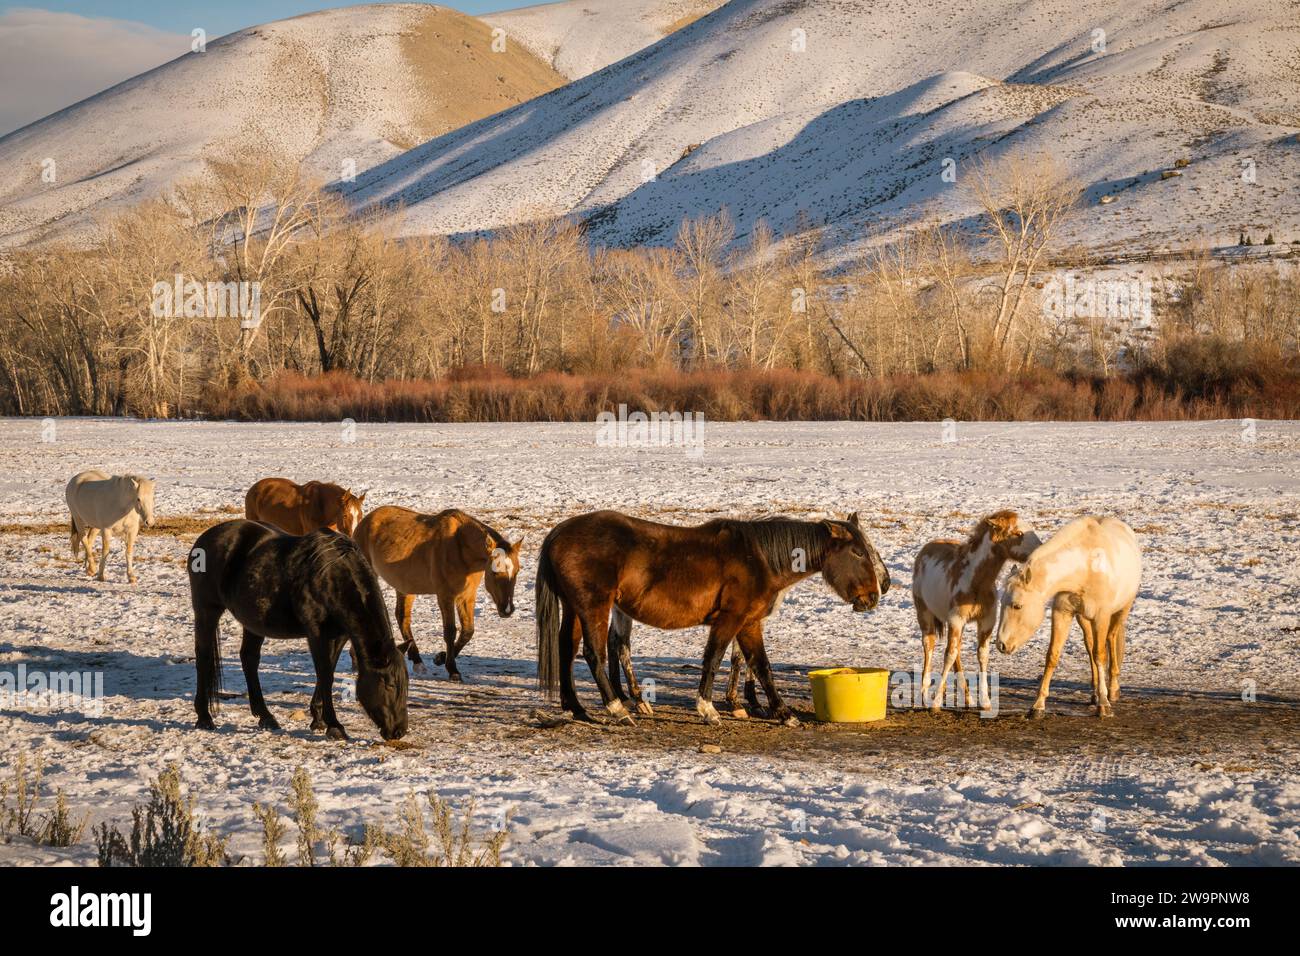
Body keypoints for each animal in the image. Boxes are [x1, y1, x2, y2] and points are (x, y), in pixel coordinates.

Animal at [187, 522, 405, 738]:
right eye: (389, 684)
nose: (399, 731)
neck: (331, 576)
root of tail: (205, 539)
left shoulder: (339, 636)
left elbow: (327, 671)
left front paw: (318, 718)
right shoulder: (316, 633)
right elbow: (325, 674)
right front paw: (334, 725)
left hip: (253, 622)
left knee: (249, 659)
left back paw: (266, 716)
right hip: (207, 611)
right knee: (204, 658)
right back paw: (204, 717)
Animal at [353, 509, 525, 681]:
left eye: (517, 571)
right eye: (495, 573)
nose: (507, 609)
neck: (460, 546)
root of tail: (365, 521)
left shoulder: (466, 596)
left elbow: (468, 631)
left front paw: (440, 658)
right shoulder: (445, 596)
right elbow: (450, 632)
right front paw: (452, 670)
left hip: (405, 586)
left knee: (402, 618)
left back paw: (417, 661)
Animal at [533, 512, 889, 728]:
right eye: (858, 552)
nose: (877, 593)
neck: (760, 559)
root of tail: (559, 533)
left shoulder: (750, 623)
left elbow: (761, 666)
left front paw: (783, 713)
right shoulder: (730, 619)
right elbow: (714, 659)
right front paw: (708, 709)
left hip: (575, 609)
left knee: (567, 651)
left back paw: (577, 708)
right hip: (593, 606)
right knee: (594, 653)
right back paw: (618, 709)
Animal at [909, 512, 1040, 712]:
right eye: (1018, 533)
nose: (1039, 549)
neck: (976, 580)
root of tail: (925, 550)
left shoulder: (986, 621)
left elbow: (981, 655)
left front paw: (984, 701)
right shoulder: (956, 619)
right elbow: (948, 655)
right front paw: (936, 702)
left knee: (956, 651)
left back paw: (968, 699)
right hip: (924, 614)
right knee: (929, 646)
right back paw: (924, 697)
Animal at [993, 515, 1138, 717]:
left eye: (1017, 605)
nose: (1001, 644)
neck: (1084, 565)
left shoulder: (1101, 617)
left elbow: (1101, 655)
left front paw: (1104, 704)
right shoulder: (1062, 613)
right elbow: (1053, 655)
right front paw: (1038, 705)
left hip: (1122, 610)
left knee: (1111, 638)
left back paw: (1113, 690)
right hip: (1083, 618)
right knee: (1090, 647)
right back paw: (1094, 694)